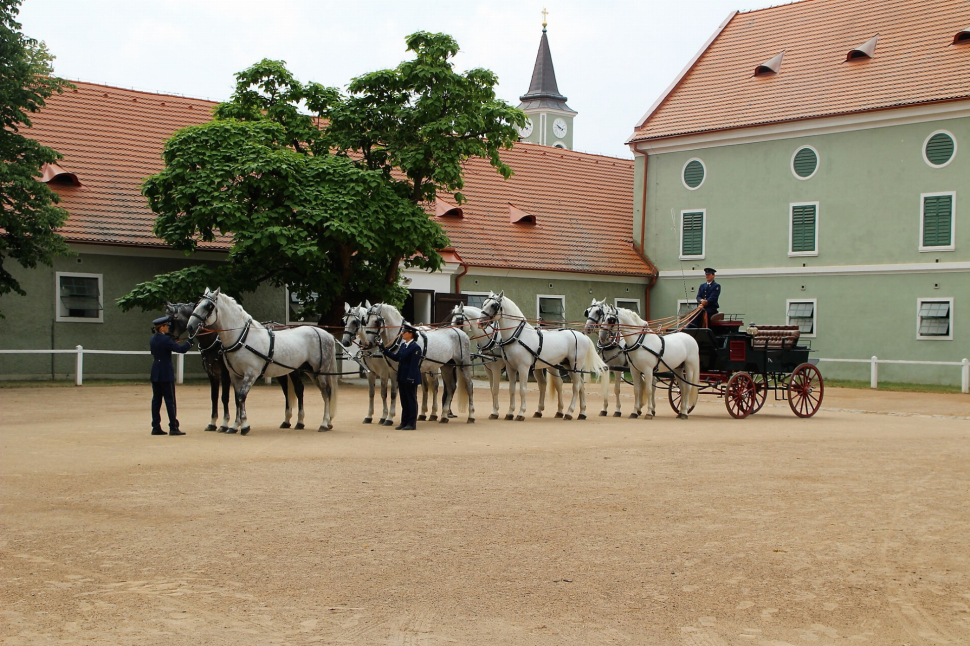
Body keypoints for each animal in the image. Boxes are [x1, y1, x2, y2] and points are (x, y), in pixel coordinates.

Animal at [164, 306, 304, 436]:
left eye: (173, 318)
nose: (168, 337)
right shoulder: (213, 375)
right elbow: (215, 397)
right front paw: (213, 423)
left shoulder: (226, 374)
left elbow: (225, 397)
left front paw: (225, 424)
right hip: (280, 371)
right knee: (286, 391)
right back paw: (286, 420)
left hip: (293, 370)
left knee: (298, 389)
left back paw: (299, 422)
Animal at [183, 290, 338, 436]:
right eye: (196, 304)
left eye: (208, 306)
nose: (190, 326)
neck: (242, 338)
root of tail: (325, 334)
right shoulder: (234, 375)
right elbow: (237, 399)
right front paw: (234, 426)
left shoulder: (250, 374)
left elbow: (241, 397)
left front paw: (244, 426)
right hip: (310, 371)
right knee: (320, 392)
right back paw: (316, 422)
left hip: (320, 371)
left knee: (326, 392)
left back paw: (324, 423)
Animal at [476, 292, 604, 422]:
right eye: (484, 303)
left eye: (493, 305)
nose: (480, 322)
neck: (518, 336)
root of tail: (582, 335)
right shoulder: (510, 368)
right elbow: (512, 390)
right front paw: (510, 413)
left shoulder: (523, 368)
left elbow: (522, 390)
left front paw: (521, 413)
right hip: (568, 365)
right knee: (581, 385)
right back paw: (582, 412)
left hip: (575, 365)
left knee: (576, 387)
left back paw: (569, 412)